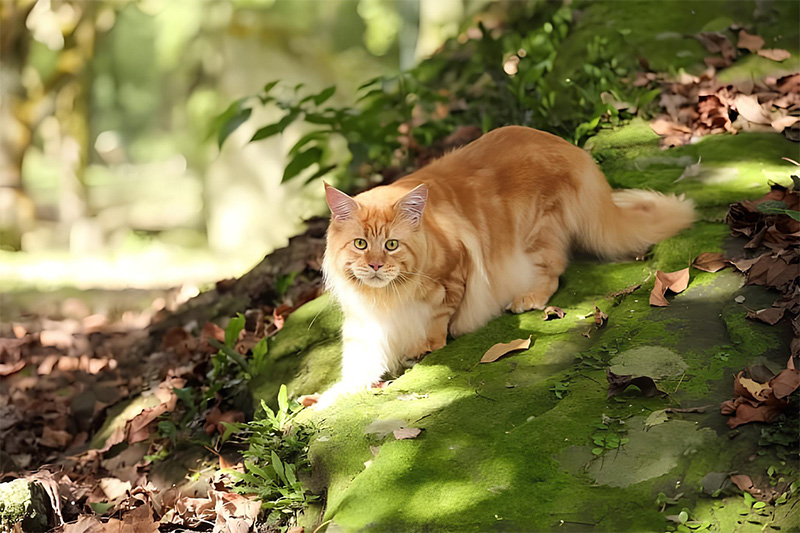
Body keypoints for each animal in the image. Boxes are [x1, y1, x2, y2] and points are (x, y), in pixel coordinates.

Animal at [318, 125, 692, 408]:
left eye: (391, 245)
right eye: (361, 244)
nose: (375, 265)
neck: (384, 297)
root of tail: (571, 149)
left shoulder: (453, 276)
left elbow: (438, 320)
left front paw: (424, 346)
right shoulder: (363, 325)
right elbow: (356, 370)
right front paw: (326, 400)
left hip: (536, 236)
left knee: (554, 272)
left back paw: (528, 298)